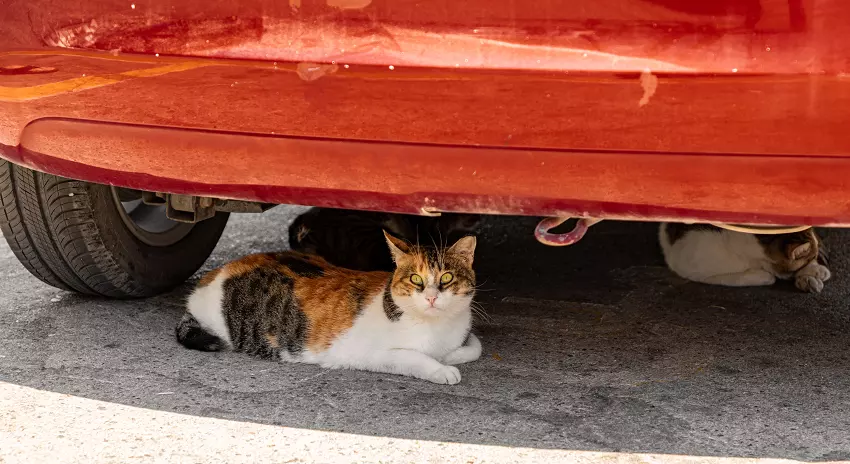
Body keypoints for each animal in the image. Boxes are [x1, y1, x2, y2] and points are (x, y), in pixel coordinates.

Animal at [176, 232, 480, 384]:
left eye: (447, 278)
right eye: (416, 279)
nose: (431, 297)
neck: (436, 328)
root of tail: (214, 273)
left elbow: (472, 348)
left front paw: (450, 358)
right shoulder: (369, 354)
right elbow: (414, 357)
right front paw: (442, 370)